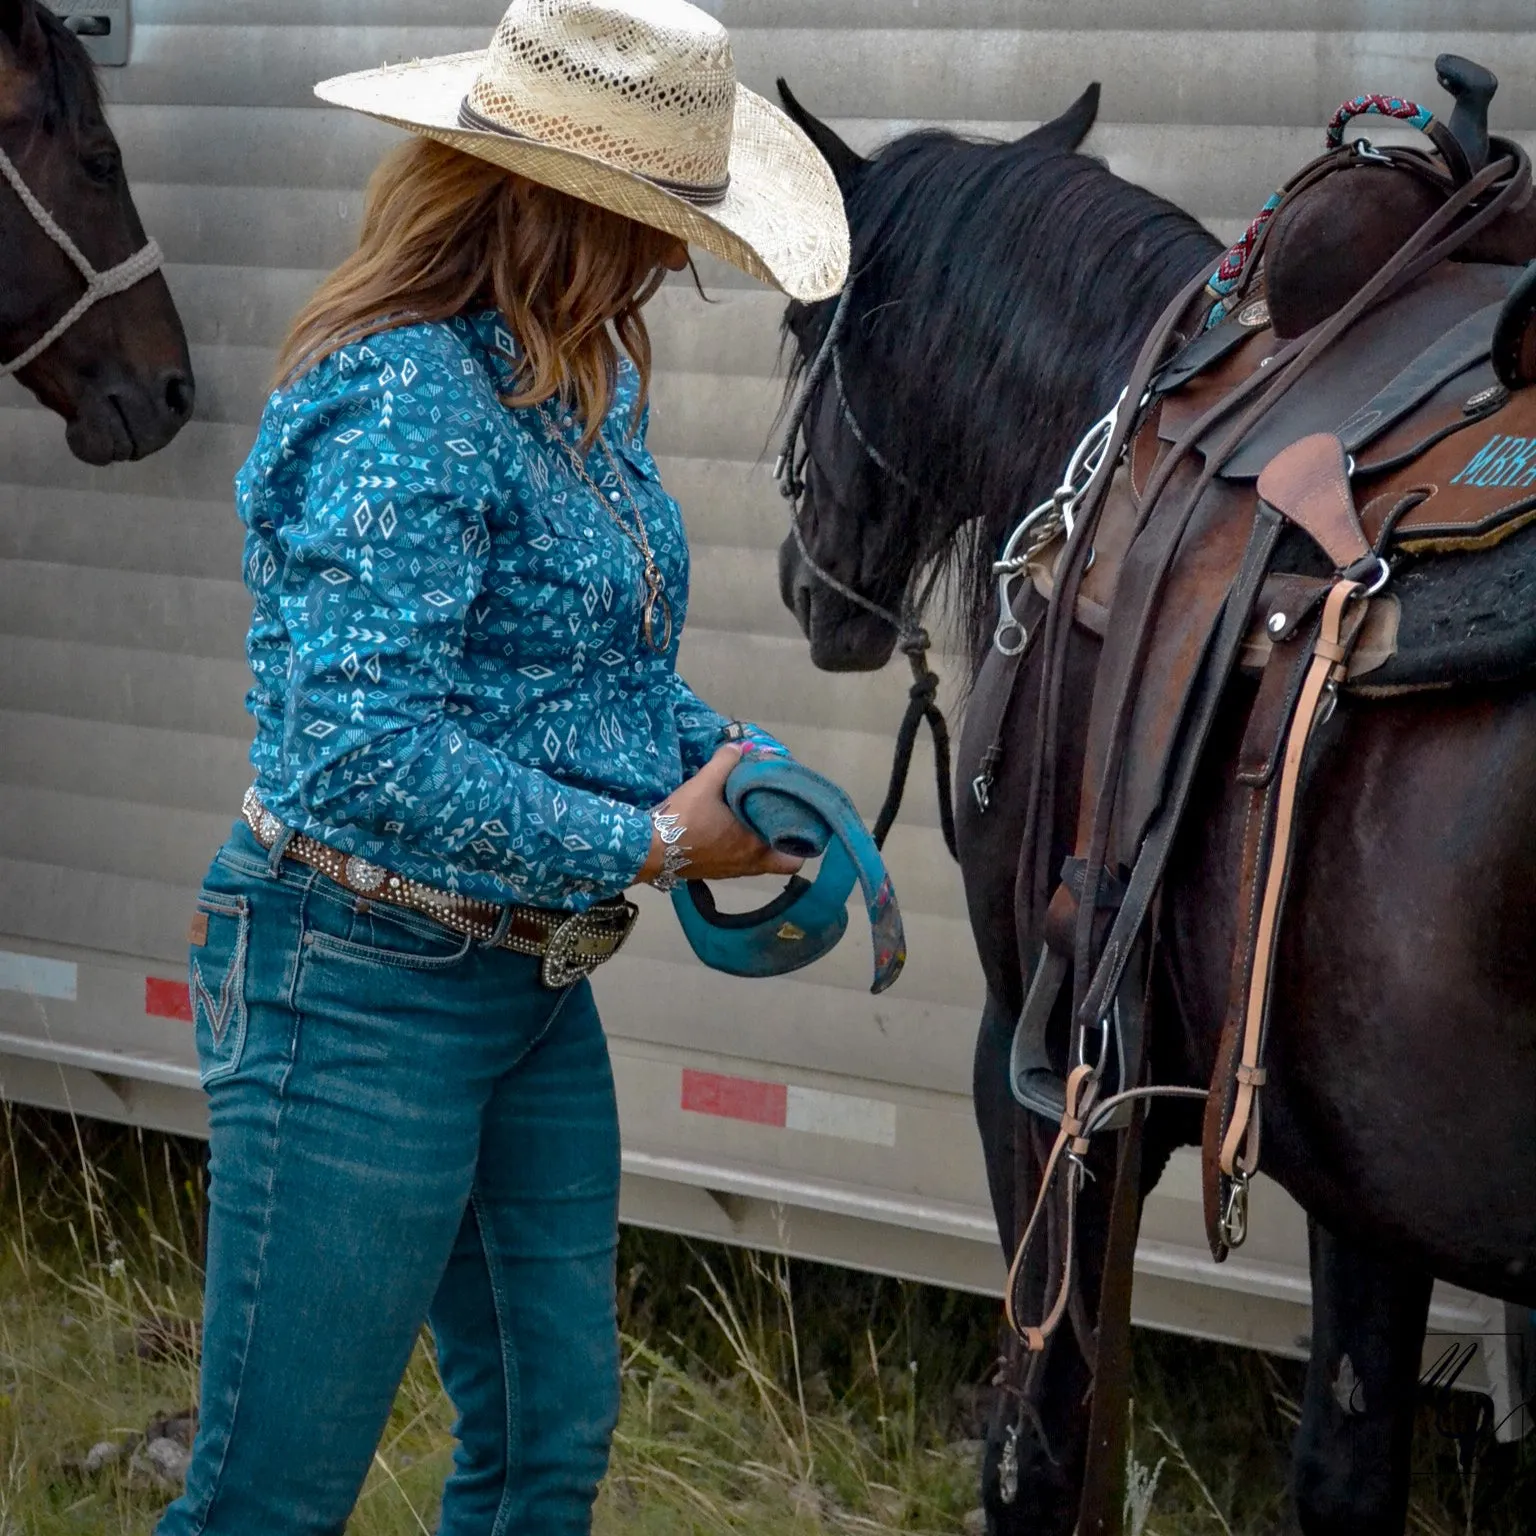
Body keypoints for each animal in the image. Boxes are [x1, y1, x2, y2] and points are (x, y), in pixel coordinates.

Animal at [774, 81, 1536, 1536]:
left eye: (804, 328)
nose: (801, 583)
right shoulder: (1357, 1155)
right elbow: (1345, 1464)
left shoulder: (1039, 1067)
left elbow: (1040, 1452)